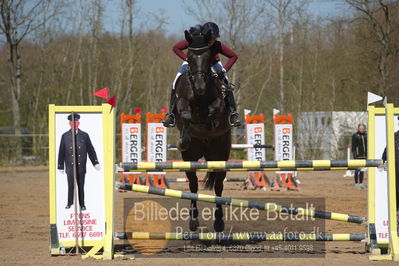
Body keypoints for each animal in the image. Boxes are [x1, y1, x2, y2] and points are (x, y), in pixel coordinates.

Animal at [173, 26, 233, 231]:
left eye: (208, 57)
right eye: (190, 56)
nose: (199, 87)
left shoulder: (219, 103)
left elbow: (213, 109)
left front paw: (209, 120)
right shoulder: (182, 101)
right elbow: (185, 115)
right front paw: (184, 138)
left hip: (220, 155)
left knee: (219, 186)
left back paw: (219, 222)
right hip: (190, 157)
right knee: (192, 186)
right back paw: (193, 221)